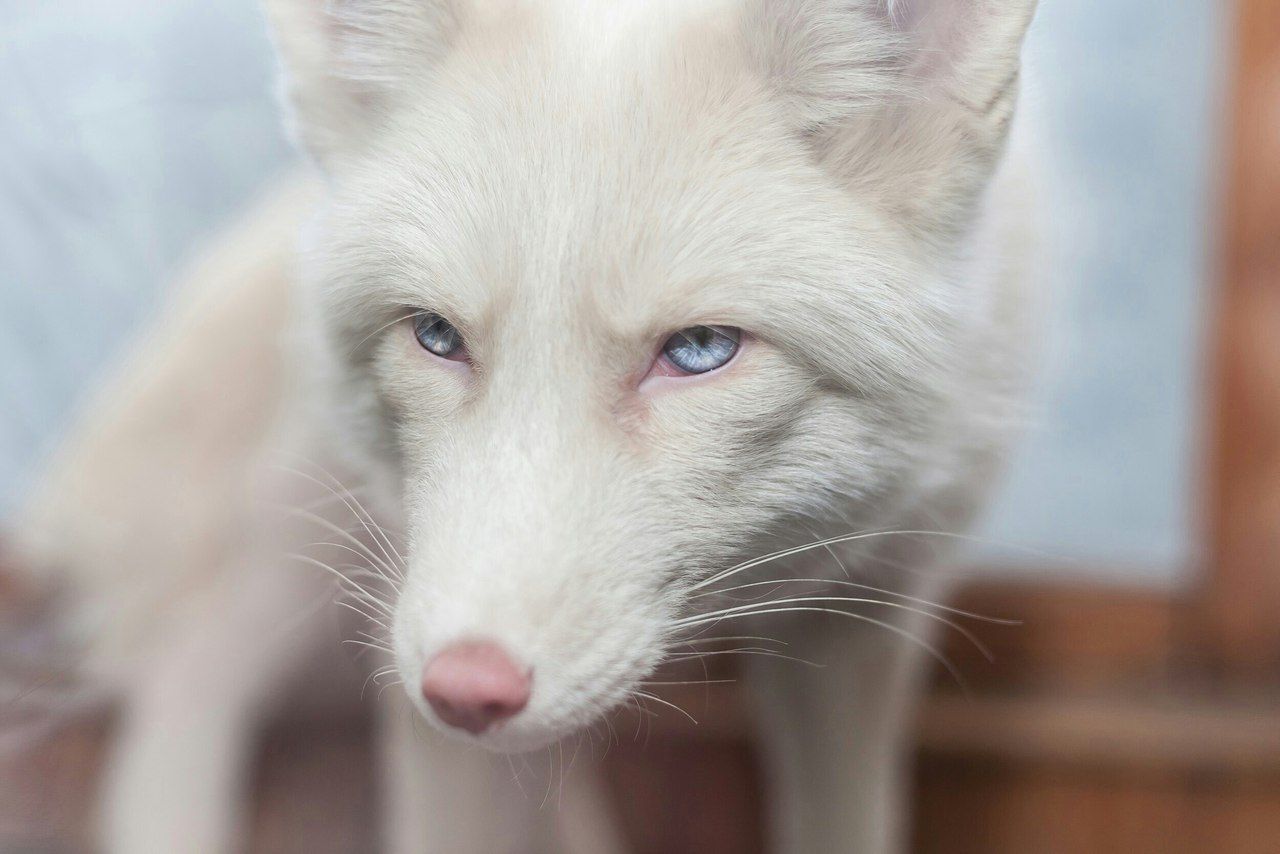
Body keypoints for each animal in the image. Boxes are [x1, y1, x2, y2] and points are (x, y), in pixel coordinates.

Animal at [8, 0, 1040, 852]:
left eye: (700, 349)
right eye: (435, 334)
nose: (465, 687)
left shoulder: (873, 608)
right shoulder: (406, 609)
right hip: (302, 542)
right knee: (178, 676)